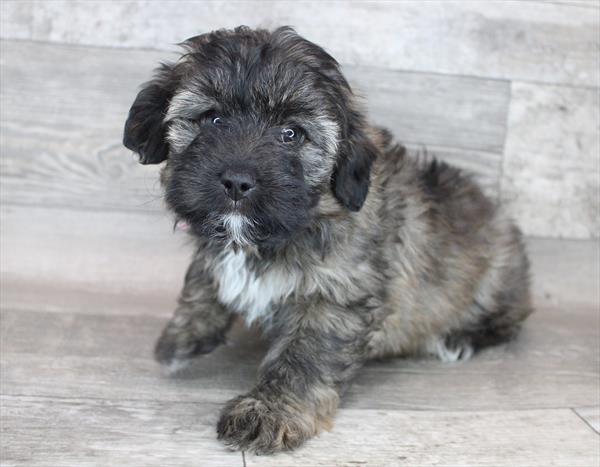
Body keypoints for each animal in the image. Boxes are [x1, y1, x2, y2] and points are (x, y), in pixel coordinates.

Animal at [123, 27, 536, 456]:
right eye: (212, 119)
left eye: (291, 134)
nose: (237, 181)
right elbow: (204, 277)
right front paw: (181, 337)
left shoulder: (335, 297)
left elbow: (302, 358)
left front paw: (270, 411)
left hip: (498, 273)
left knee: (507, 319)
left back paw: (458, 338)